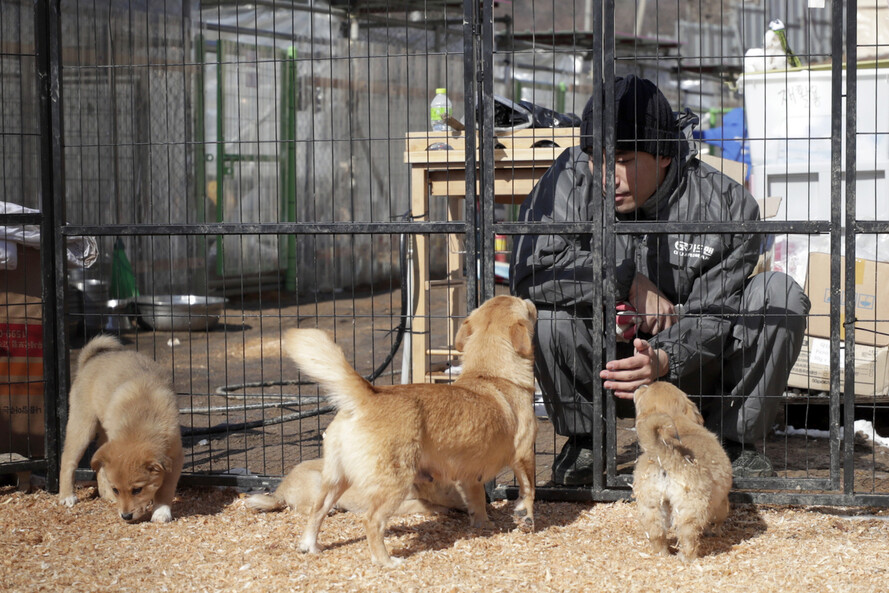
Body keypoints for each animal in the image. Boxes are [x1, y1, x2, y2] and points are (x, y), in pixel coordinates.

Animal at [57, 332, 184, 524]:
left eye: (137, 490)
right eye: (117, 489)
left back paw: (105, 494)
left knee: (99, 466)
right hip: (83, 426)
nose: (125, 516)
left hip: (102, 436)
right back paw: (67, 496)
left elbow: (166, 488)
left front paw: (161, 511)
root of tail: (89, 360)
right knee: (68, 460)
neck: (141, 419)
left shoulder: (175, 458)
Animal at [286, 294, 536, 564]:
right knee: (372, 521)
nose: (530, 299)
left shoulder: (469, 475)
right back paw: (386, 561)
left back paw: (310, 545)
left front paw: (484, 525)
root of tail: (368, 396)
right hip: (395, 483)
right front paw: (526, 518)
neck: (489, 375)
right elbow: (529, 490)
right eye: (523, 304)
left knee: (318, 509)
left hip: (336, 479)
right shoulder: (524, 455)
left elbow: (478, 501)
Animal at [636, 380, 732, 560]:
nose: (640, 386)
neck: (678, 421)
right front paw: (716, 531)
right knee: (688, 537)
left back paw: (662, 555)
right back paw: (688, 558)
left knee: (657, 533)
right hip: (690, 508)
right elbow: (719, 518)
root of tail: (664, 452)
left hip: (651, 505)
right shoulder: (721, 500)